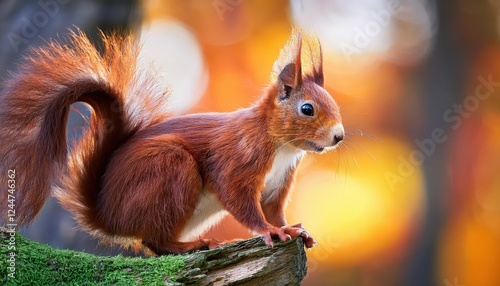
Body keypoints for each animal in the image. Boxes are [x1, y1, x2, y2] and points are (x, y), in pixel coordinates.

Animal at [0, 27, 344, 254]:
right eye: (307, 109)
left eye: (334, 104)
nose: (338, 136)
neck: (281, 146)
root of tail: (107, 217)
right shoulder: (238, 158)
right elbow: (240, 200)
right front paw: (270, 231)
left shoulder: (278, 183)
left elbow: (273, 209)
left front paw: (292, 228)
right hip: (171, 169)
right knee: (155, 241)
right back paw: (193, 244)